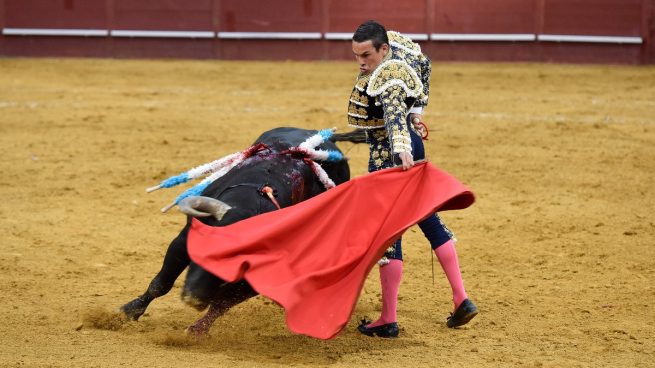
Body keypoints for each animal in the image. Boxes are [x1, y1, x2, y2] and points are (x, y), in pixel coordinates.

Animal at [121, 127, 366, 336]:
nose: (194, 299)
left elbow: (222, 303)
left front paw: (197, 331)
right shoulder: (183, 241)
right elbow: (161, 283)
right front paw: (129, 312)